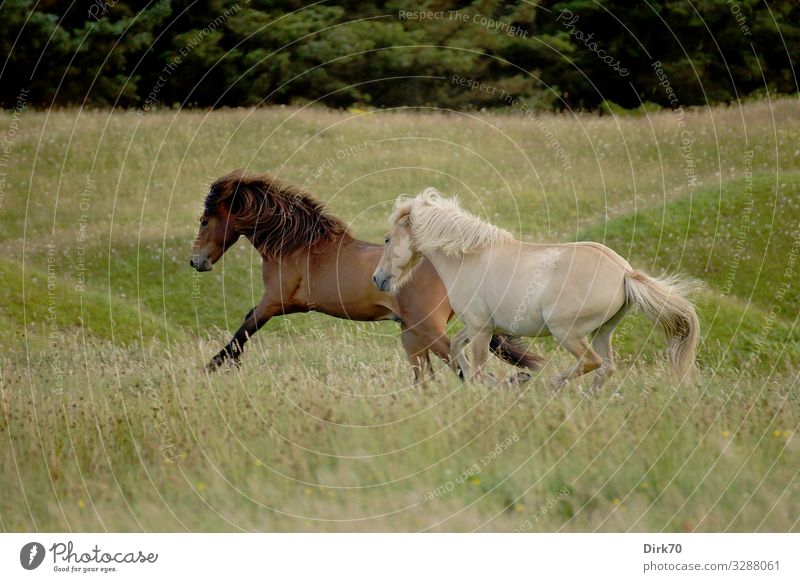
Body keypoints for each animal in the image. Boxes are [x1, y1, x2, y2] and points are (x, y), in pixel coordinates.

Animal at [188, 170, 540, 384]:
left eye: (205, 221)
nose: (196, 261)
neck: (297, 245)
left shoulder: (275, 301)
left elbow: (244, 330)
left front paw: (210, 368)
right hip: (412, 332)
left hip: (428, 328)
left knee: (465, 370)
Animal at [370, 192, 700, 390]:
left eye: (386, 239)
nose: (377, 279)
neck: (468, 258)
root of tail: (624, 272)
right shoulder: (480, 326)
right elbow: (456, 349)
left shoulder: (480, 327)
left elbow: (477, 367)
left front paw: (500, 384)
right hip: (603, 331)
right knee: (606, 367)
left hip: (567, 331)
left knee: (591, 362)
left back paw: (549, 386)